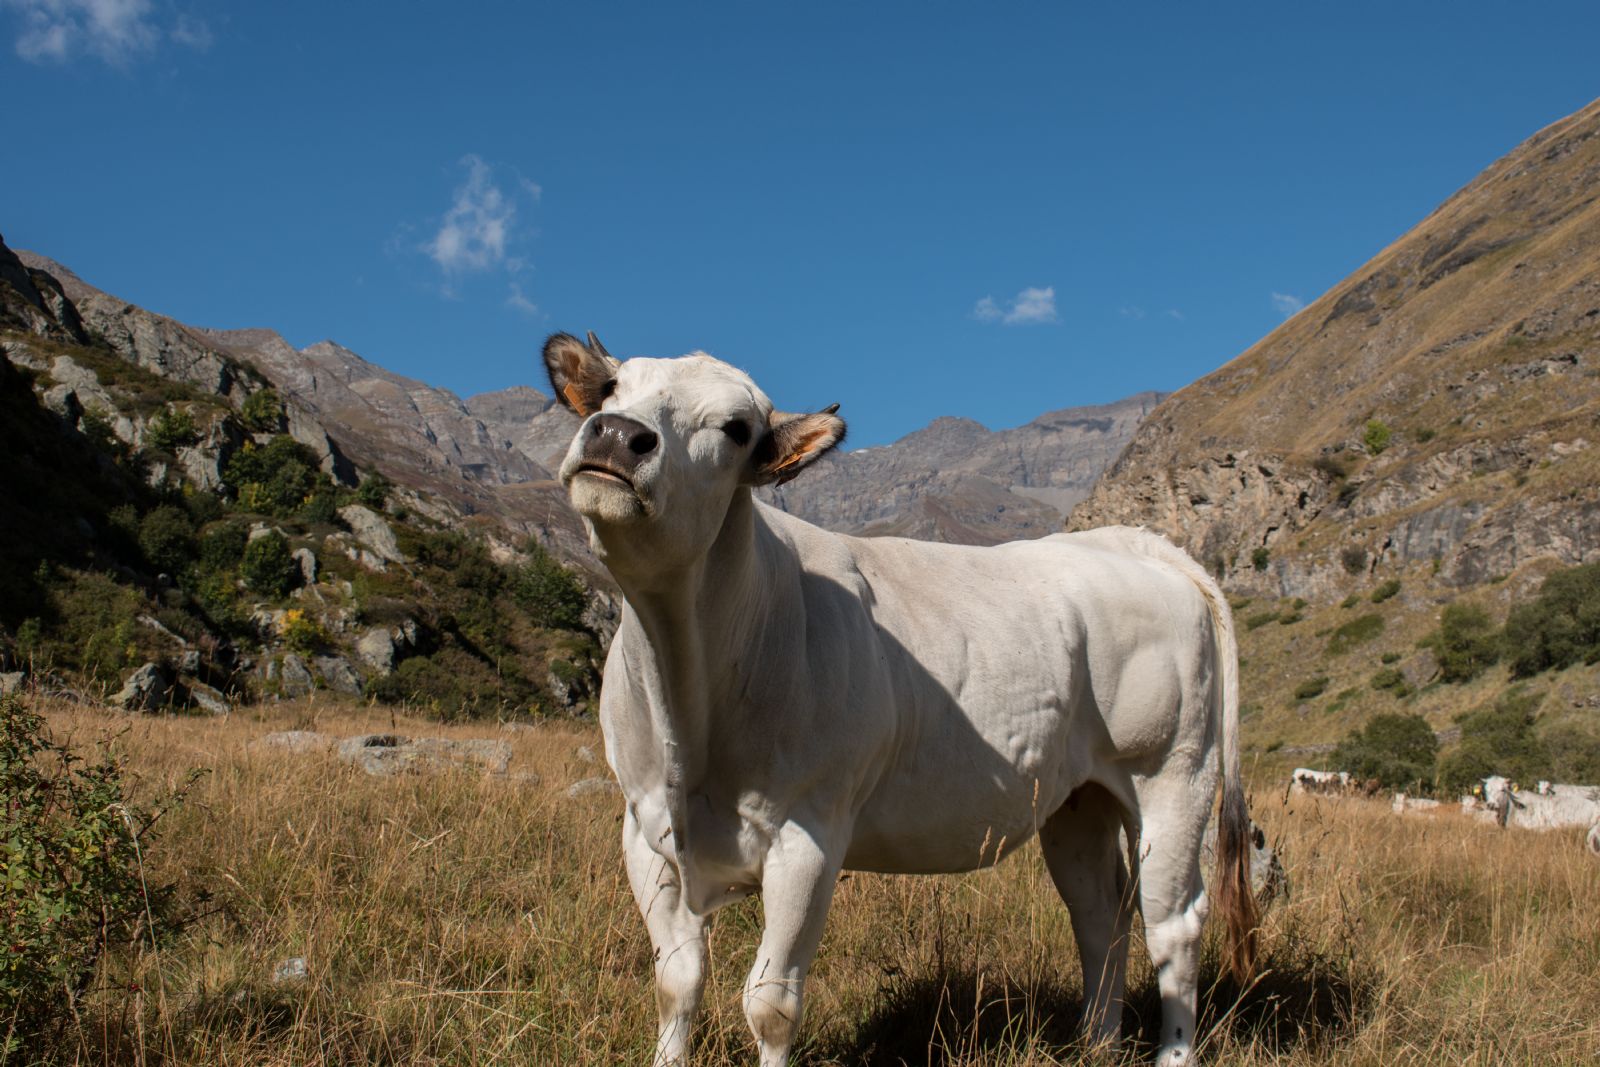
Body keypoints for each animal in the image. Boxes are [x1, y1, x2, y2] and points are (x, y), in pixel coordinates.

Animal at [542, 332, 1258, 1067]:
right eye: (611, 390)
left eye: (737, 428)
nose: (618, 435)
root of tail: (1136, 544)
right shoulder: (643, 829)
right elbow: (677, 980)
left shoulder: (809, 833)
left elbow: (770, 1001)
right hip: (1078, 797)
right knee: (1101, 915)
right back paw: (1097, 1042)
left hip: (1173, 774)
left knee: (1174, 924)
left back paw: (1170, 1050)